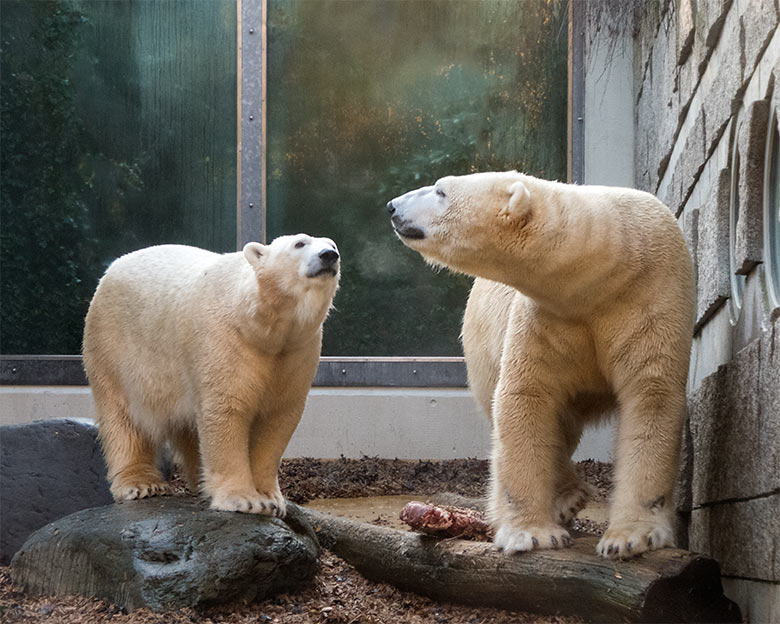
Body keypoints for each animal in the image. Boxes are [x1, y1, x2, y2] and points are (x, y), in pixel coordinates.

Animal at [84, 234, 340, 516]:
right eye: (299, 244)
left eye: (333, 245)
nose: (329, 255)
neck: (263, 328)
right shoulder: (225, 338)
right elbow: (227, 409)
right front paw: (245, 500)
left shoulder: (296, 351)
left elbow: (276, 417)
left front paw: (272, 499)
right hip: (114, 349)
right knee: (124, 418)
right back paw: (142, 484)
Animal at [390, 172, 696, 560]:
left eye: (441, 190)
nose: (392, 206)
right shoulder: (546, 317)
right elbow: (526, 398)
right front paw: (531, 534)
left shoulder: (650, 297)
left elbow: (651, 397)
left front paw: (630, 537)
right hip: (481, 343)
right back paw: (566, 497)